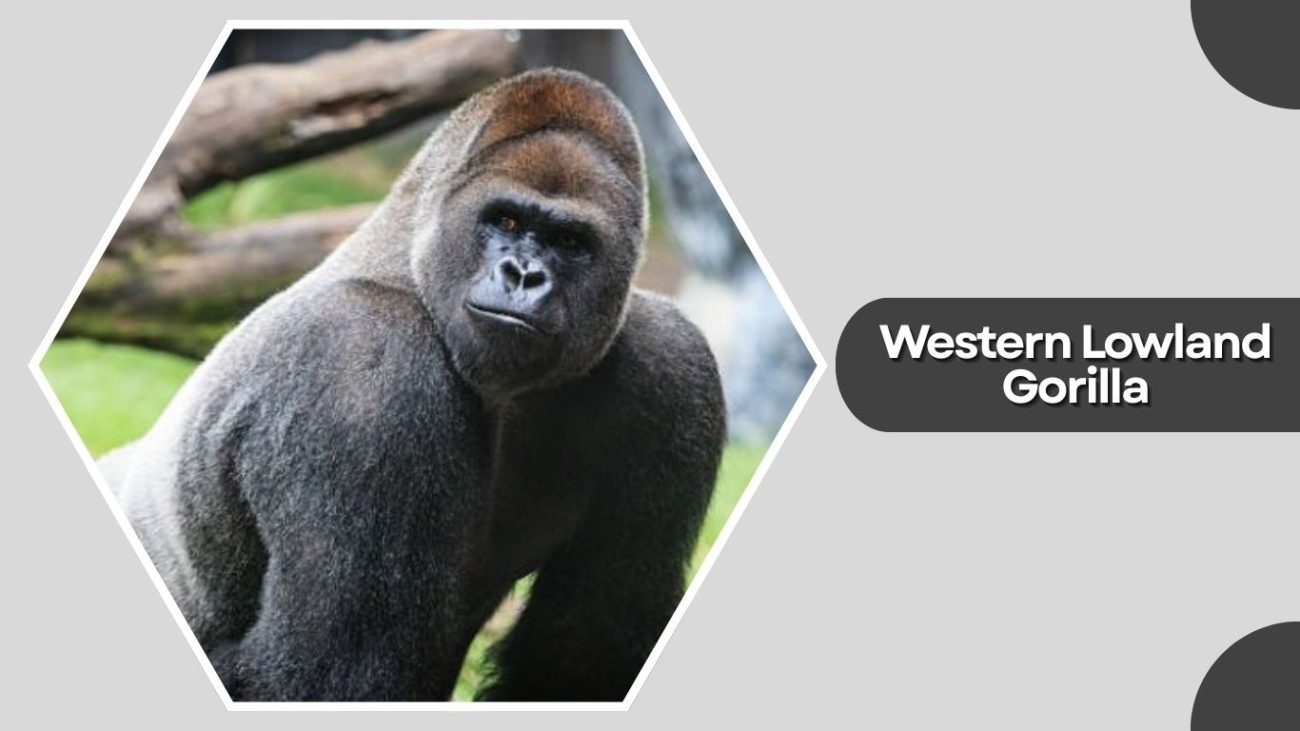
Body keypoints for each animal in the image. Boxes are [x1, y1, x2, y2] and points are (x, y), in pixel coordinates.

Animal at [97, 69, 725, 702]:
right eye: (506, 221)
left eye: (571, 242)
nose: (523, 276)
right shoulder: (367, 360)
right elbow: (328, 671)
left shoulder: (671, 364)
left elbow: (580, 656)